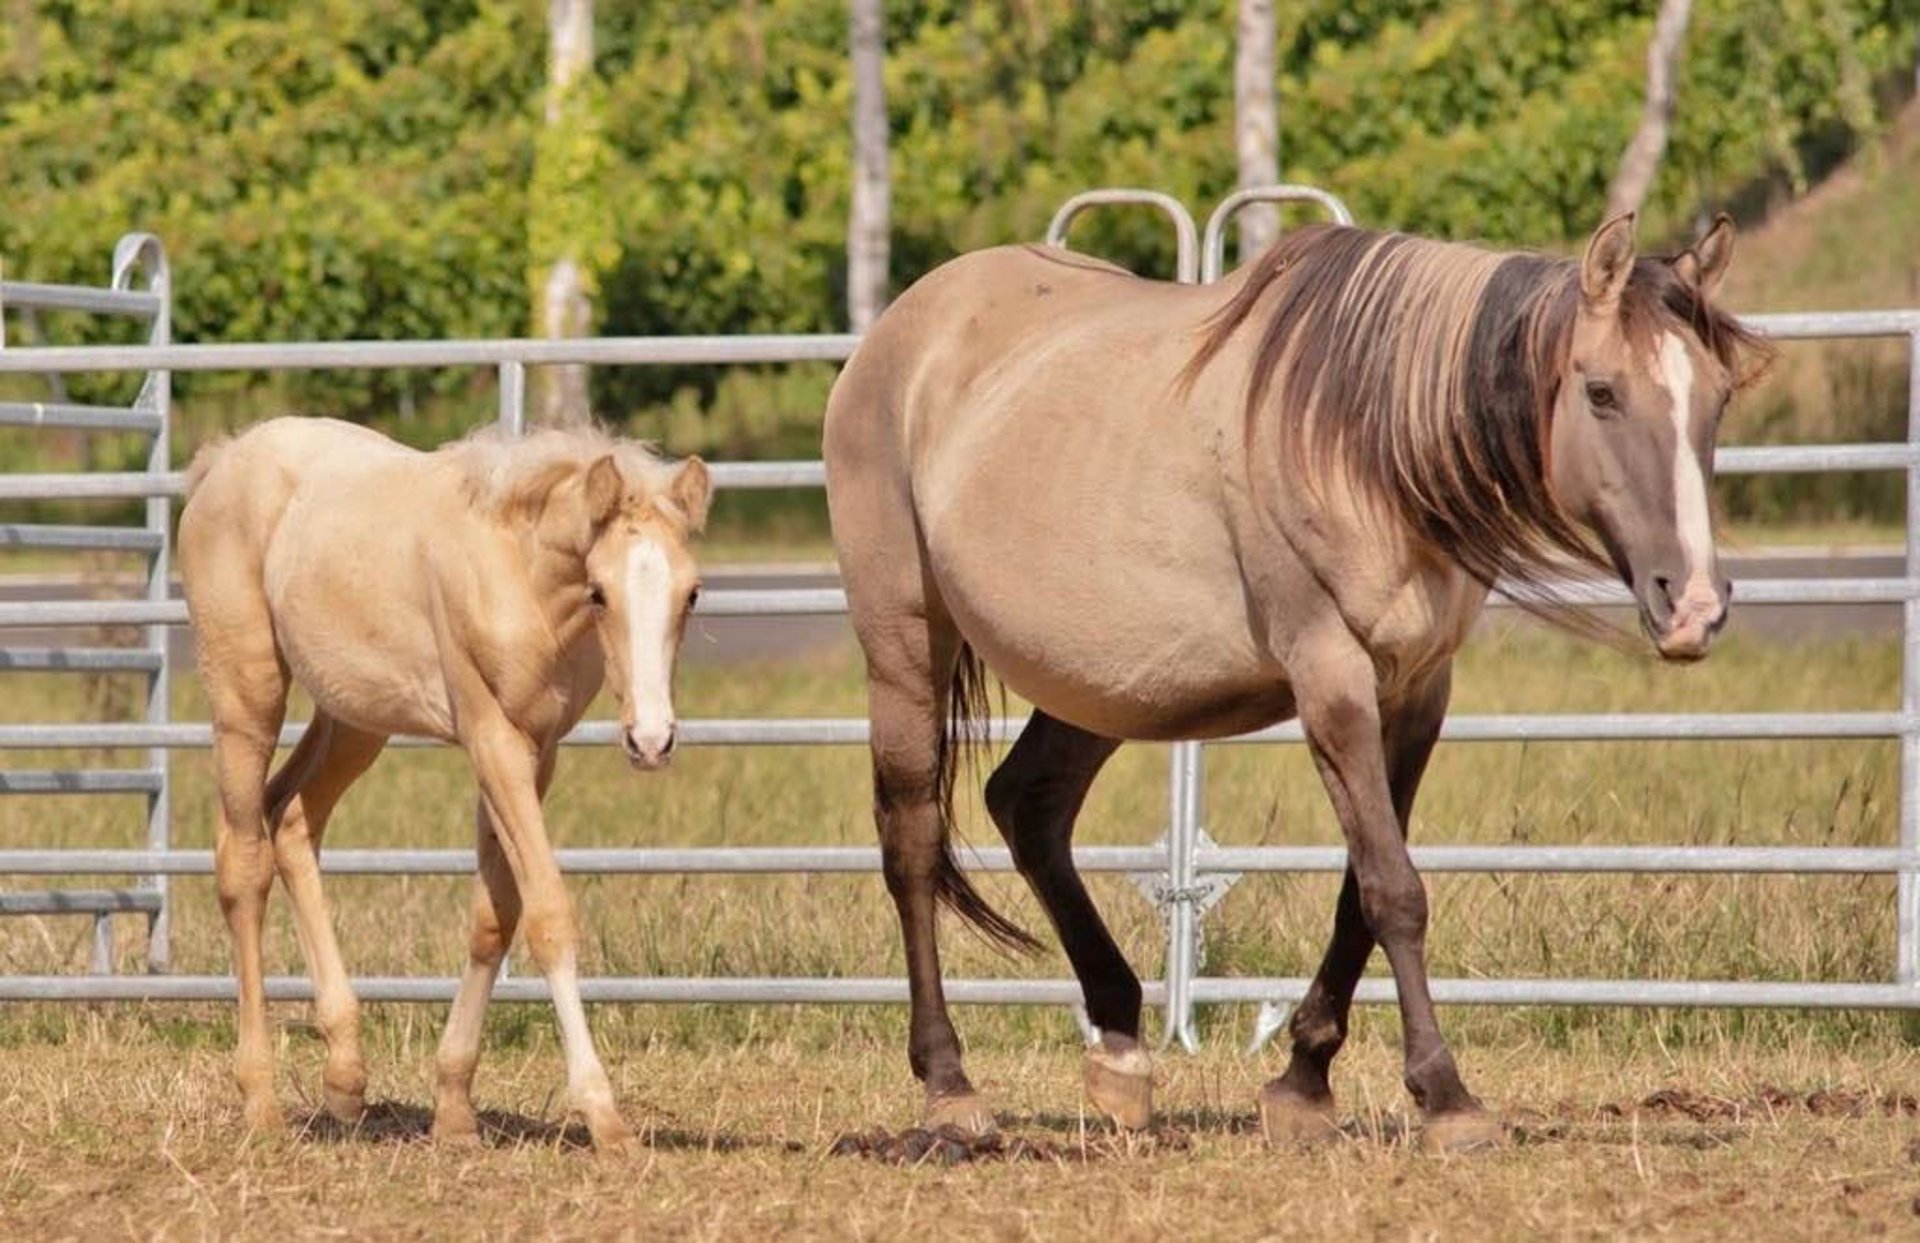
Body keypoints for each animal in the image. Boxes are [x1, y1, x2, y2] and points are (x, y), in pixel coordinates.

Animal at [179, 417, 711, 1150]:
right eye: (599, 590)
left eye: (692, 592)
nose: (651, 740)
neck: (518, 572)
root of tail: (225, 457)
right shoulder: (492, 739)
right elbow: (548, 913)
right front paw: (604, 1115)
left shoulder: (534, 750)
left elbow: (494, 916)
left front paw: (455, 1108)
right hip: (246, 695)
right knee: (243, 863)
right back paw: (260, 1100)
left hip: (355, 715)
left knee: (290, 816)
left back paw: (345, 1077)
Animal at [823, 211, 1764, 1150]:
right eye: (1601, 392)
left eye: (1719, 397)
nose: (1695, 605)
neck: (1361, 438)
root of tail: (898, 333)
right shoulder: (1330, 677)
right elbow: (1394, 888)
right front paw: (1445, 1094)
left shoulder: (1416, 691)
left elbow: (1363, 890)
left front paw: (1305, 1079)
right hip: (905, 644)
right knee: (912, 841)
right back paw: (949, 1084)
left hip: (1103, 680)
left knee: (1030, 802)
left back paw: (1121, 1051)